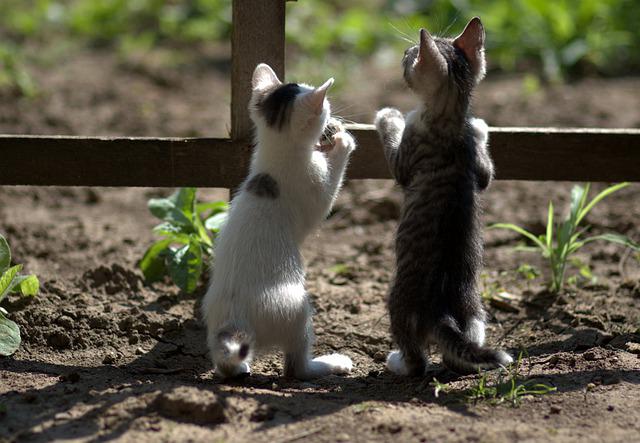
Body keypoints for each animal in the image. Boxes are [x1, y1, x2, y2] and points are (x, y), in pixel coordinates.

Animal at [201, 63, 356, 382]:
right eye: (326, 108)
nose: (333, 119)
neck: (276, 155)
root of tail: (235, 319)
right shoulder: (314, 189)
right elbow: (327, 194)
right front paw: (343, 141)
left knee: (225, 364)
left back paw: (237, 368)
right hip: (296, 309)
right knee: (296, 368)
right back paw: (330, 364)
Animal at [372, 18, 512, 378]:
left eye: (411, 56)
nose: (404, 52)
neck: (450, 121)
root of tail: (442, 312)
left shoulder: (405, 159)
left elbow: (395, 145)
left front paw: (388, 116)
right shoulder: (480, 171)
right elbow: (486, 172)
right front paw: (481, 126)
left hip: (397, 304)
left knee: (417, 360)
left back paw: (398, 362)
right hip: (475, 312)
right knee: (461, 349)